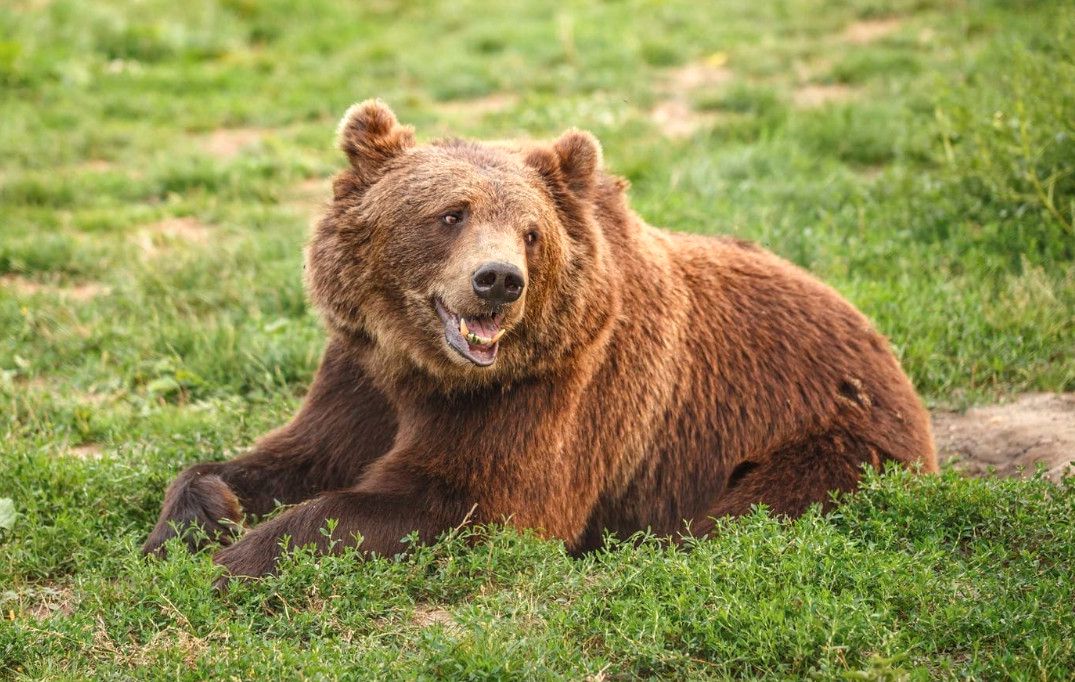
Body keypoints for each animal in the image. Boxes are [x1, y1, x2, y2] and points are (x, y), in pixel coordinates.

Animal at [145, 98, 941, 572]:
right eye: (450, 213)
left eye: (531, 232)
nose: (498, 280)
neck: (424, 367)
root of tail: (878, 340)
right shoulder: (360, 374)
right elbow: (291, 457)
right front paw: (196, 520)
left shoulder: (552, 392)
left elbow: (466, 499)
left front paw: (236, 560)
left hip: (826, 442)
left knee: (748, 514)